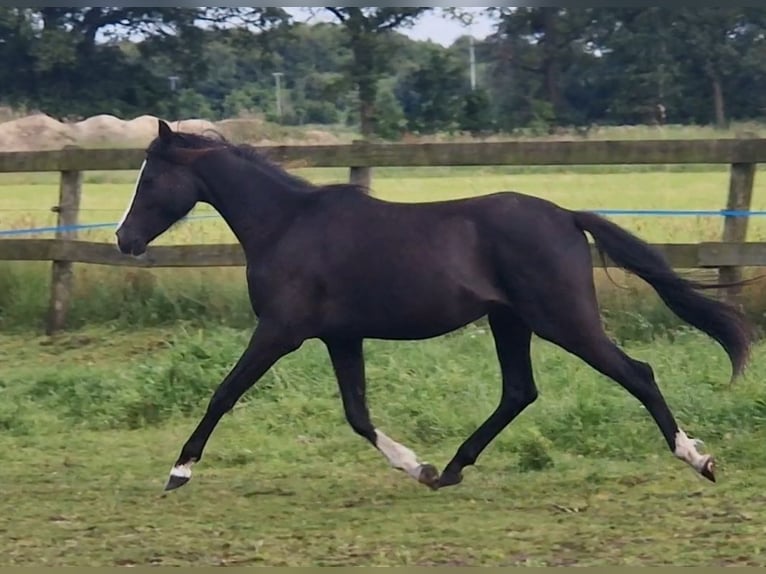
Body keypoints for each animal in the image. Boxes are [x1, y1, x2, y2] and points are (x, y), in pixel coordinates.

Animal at [115, 121, 756, 496]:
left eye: (150, 179)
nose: (124, 239)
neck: (286, 225)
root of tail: (567, 217)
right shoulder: (340, 337)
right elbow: (357, 413)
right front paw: (416, 466)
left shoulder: (279, 331)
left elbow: (223, 393)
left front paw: (179, 472)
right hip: (510, 321)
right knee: (519, 391)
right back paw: (449, 470)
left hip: (562, 320)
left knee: (637, 374)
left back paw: (699, 460)